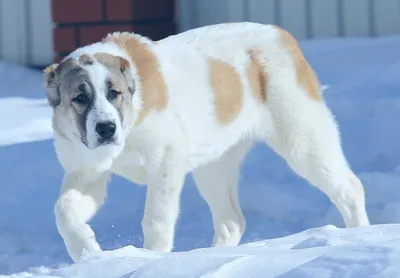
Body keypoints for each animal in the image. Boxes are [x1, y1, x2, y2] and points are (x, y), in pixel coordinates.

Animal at [42, 22, 370, 262]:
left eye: (114, 93)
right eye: (79, 98)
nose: (107, 128)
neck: (131, 118)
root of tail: (282, 34)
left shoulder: (165, 161)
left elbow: (156, 219)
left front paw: (151, 258)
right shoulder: (88, 173)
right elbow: (63, 209)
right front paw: (86, 251)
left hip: (302, 138)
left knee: (350, 188)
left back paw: (358, 238)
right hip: (214, 166)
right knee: (232, 221)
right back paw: (211, 257)